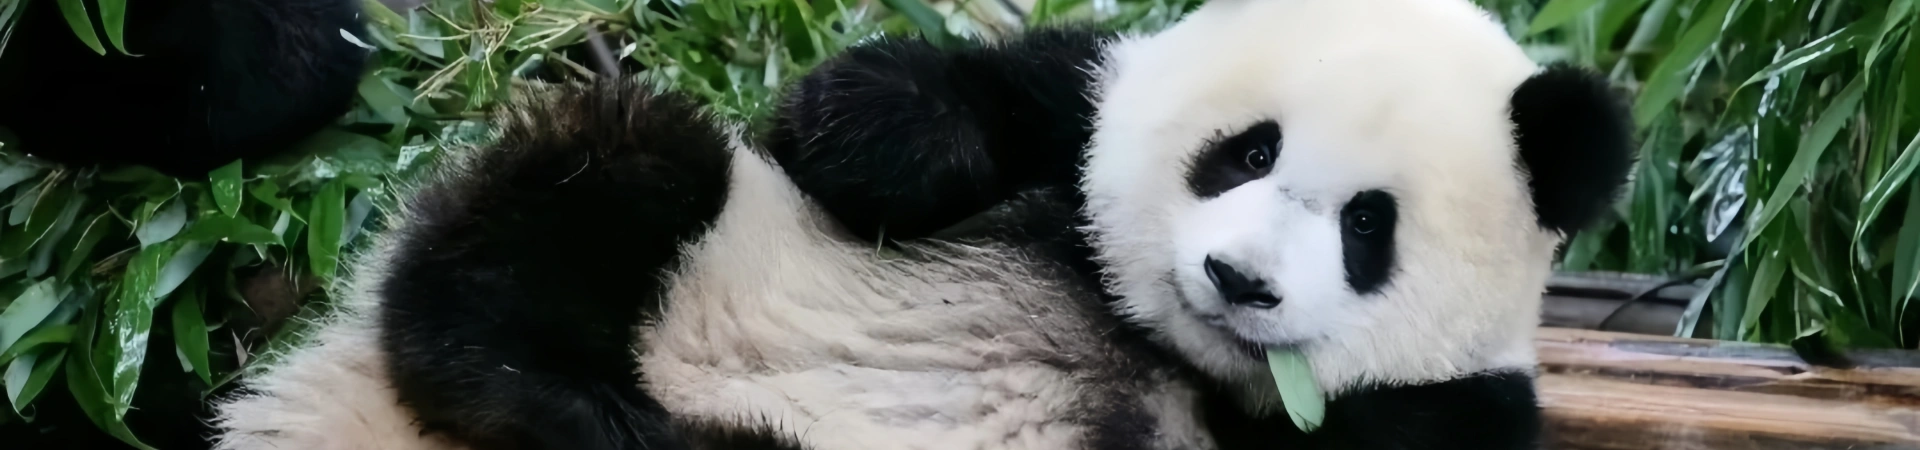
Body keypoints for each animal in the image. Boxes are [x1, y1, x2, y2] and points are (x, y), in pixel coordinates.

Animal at [207, 0, 1633, 449]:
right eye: (1247, 150)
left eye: (1367, 228)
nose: (1236, 278)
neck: (1162, 346)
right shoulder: (1066, 98)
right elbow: (863, 117)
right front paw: (901, 140)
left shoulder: (1441, 415)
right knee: (611, 178)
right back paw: (565, 394)